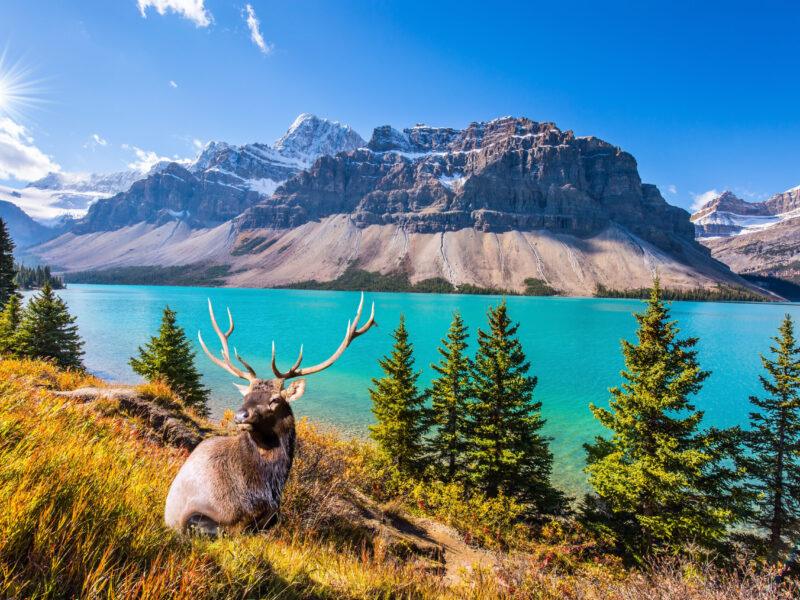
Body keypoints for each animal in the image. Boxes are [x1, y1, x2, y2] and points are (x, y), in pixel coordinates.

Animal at [163, 294, 376, 535]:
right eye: (245, 396)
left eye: (274, 400)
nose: (240, 416)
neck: (264, 490)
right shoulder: (192, 513)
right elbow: (226, 530)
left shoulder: (273, 515)